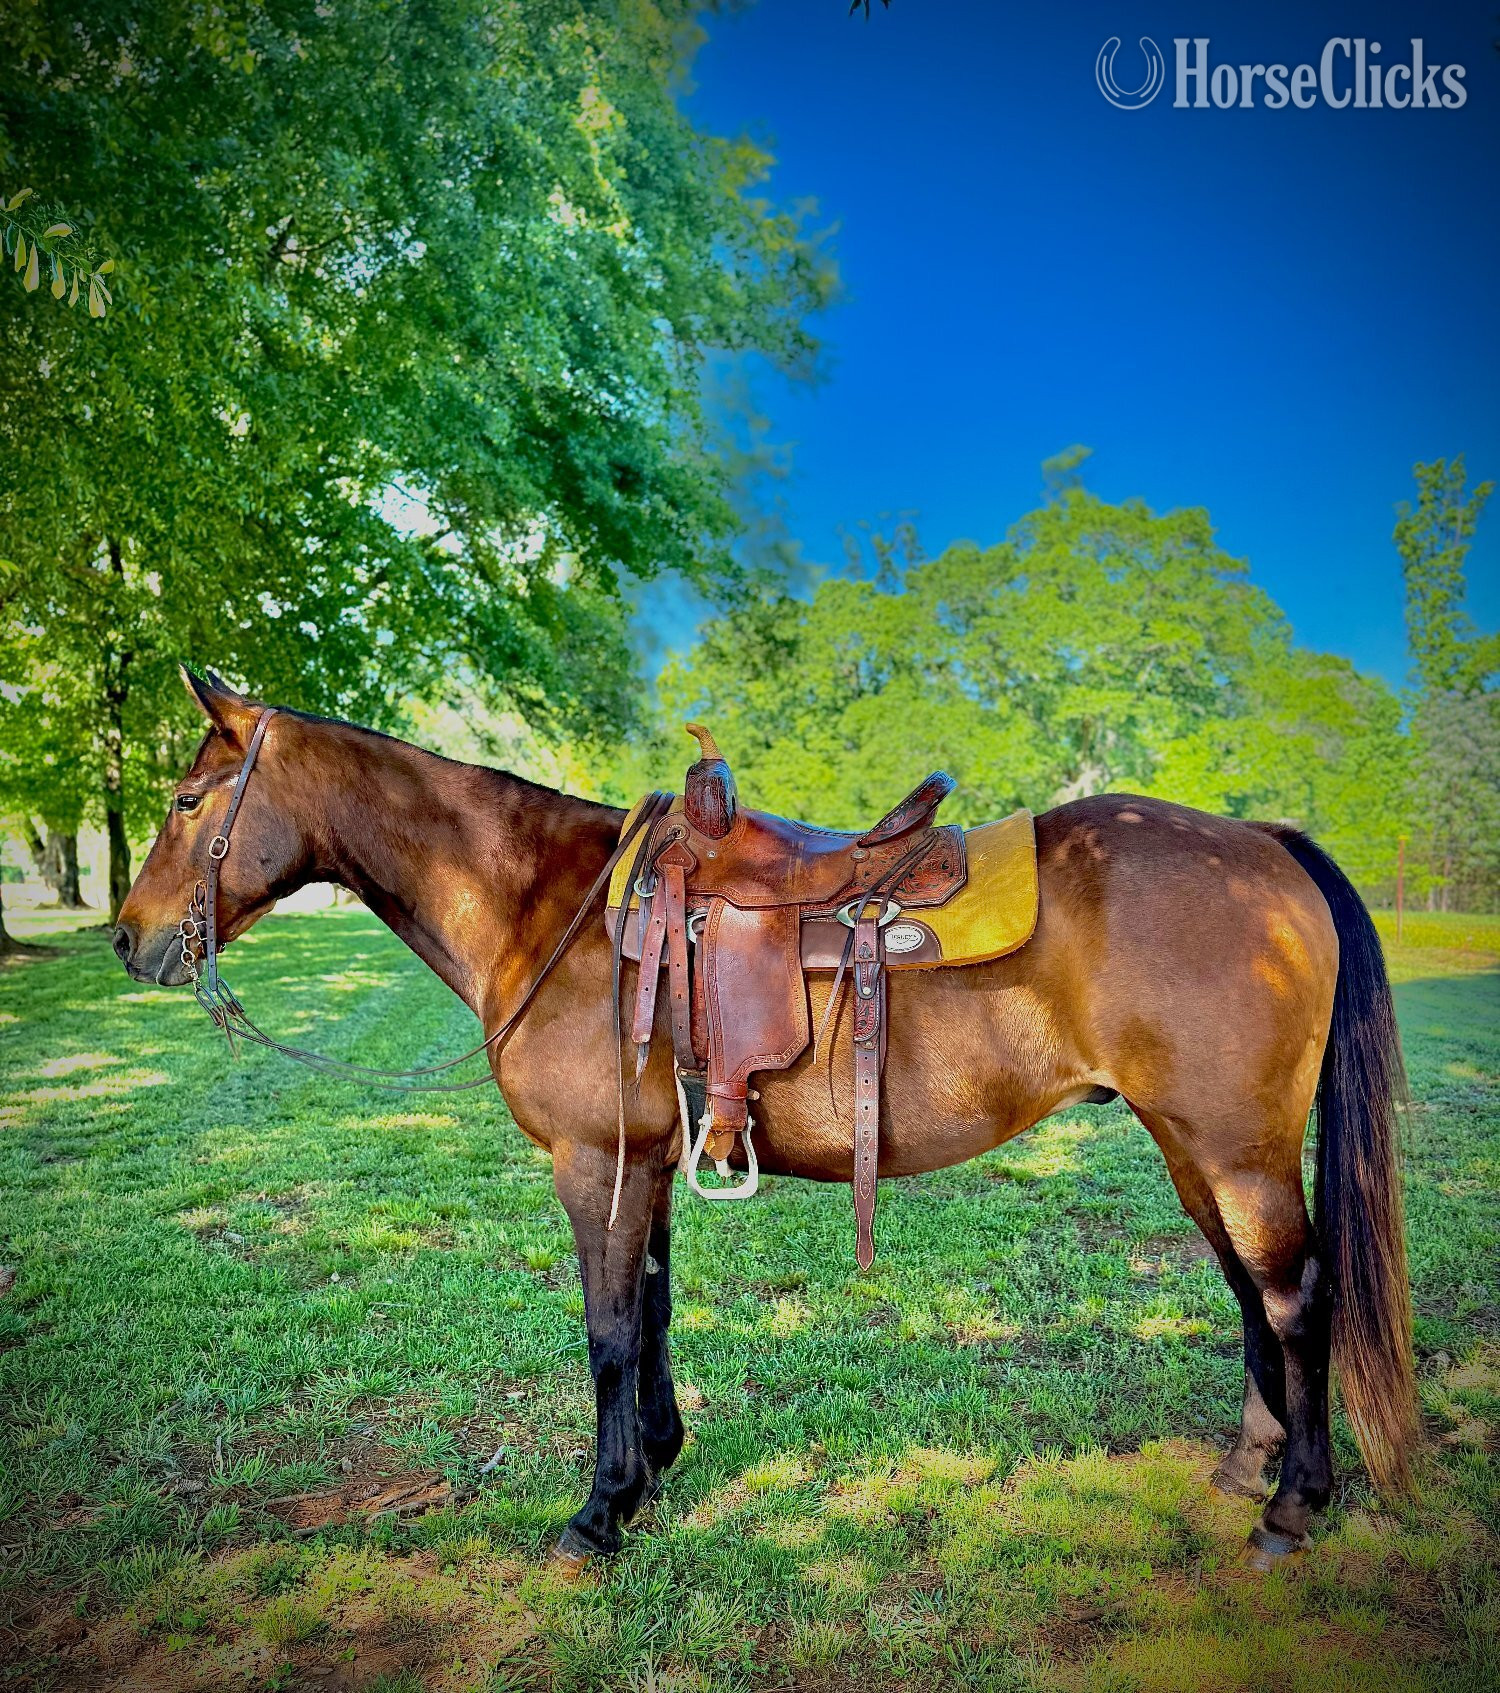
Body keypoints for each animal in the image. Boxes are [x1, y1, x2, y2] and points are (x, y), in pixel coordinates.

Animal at [113, 669, 1419, 1566]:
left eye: (184, 798)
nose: (129, 940)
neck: (549, 908)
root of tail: (1265, 845)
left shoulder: (593, 1161)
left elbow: (605, 1328)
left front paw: (599, 1512)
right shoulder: (647, 1159)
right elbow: (649, 1308)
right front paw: (655, 1463)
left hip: (1237, 1149)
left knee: (1298, 1296)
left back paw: (1295, 1504)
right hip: (1196, 1147)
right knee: (1253, 1291)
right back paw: (1245, 1466)